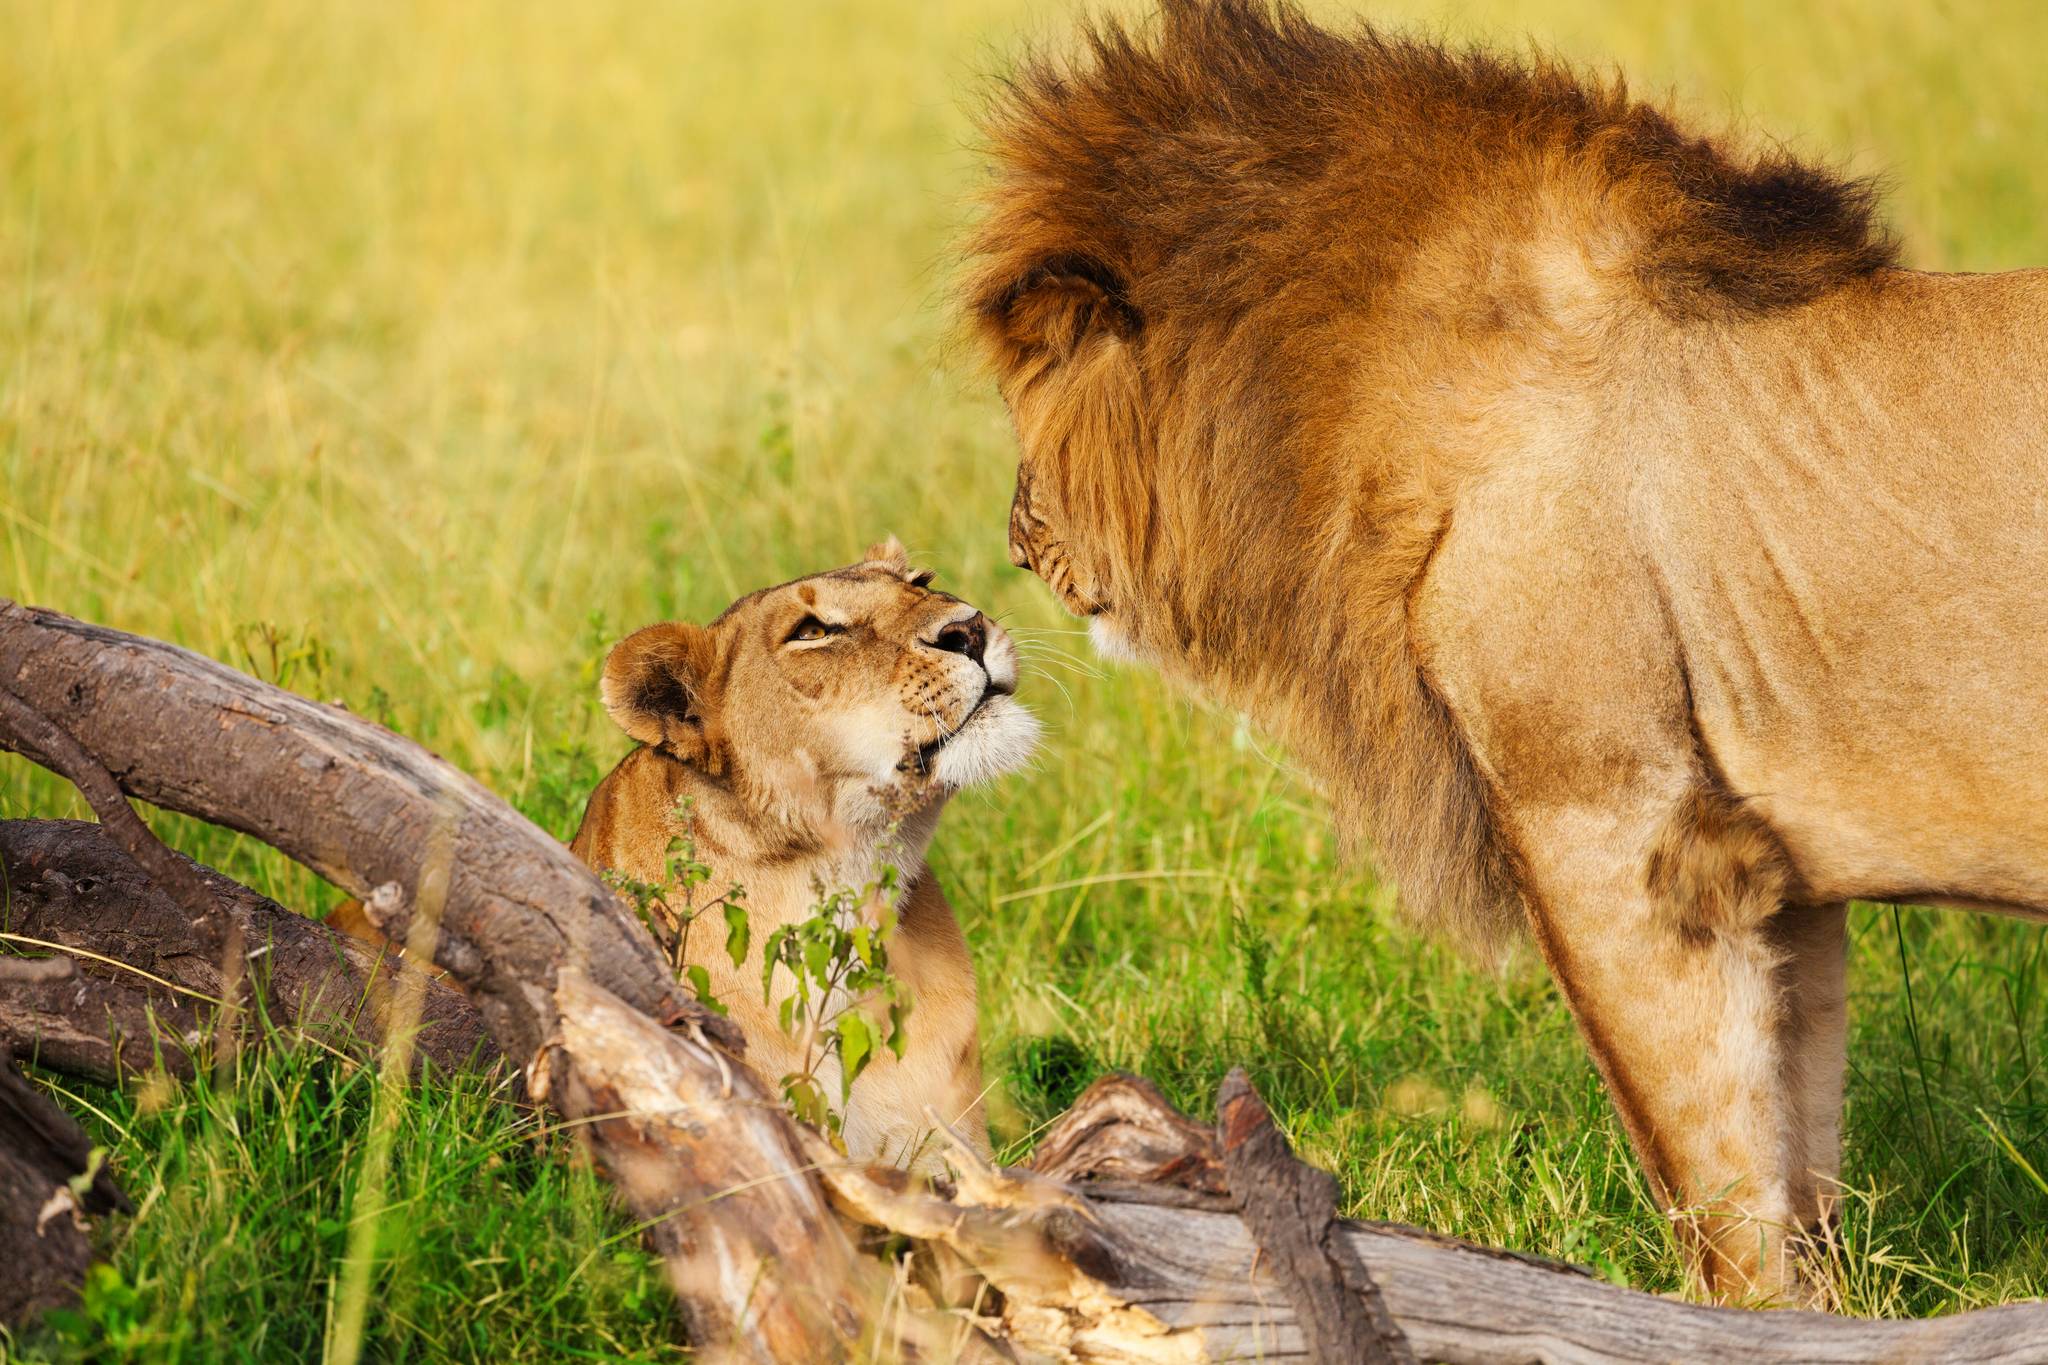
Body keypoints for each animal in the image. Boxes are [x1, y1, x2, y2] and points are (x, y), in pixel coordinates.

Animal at [962, 0, 2048, 1301]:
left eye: (1028, 388)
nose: (1014, 534)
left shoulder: (1623, 829)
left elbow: (1711, 1171)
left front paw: (1729, 1317)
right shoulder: (1769, 870)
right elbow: (1799, 1150)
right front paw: (1828, 1313)